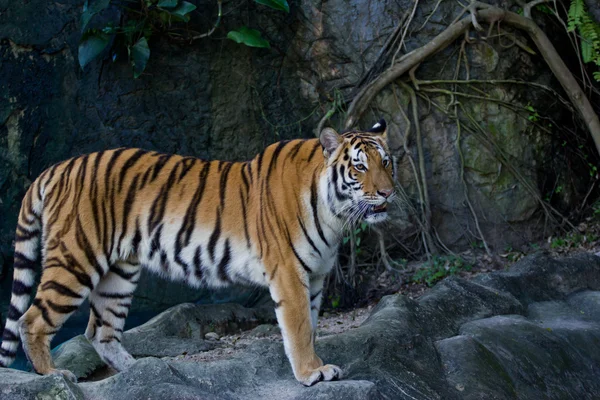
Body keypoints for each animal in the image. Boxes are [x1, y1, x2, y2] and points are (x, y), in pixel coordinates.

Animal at [0, 119, 396, 388]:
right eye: (359, 166)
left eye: (387, 162)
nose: (388, 193)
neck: (334, 213)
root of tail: (56, 168)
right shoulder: (288, 272)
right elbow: (298, 327)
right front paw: (313, 372)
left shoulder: (314, 275)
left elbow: (312, 326)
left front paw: (315, 364)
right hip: (76, 259)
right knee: (31, 321)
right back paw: (55, 375)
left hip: (119, 273)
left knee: (100, 331)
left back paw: (142, 371)